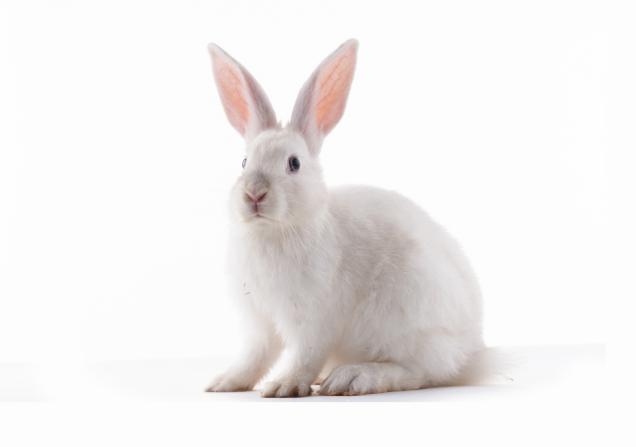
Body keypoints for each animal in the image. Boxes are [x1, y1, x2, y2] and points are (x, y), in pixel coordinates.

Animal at [206, 40, 484, 398]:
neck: (275, 231)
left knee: (421, 371)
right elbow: (254, 357)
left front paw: (284, 385)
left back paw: (353, 377)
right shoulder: (259, 323)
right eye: (243, 162)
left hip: (405, 316)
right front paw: (224, 382)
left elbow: (305, 355)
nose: (254, 194)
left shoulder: (314, 319)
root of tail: (470, 351)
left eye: (294, 163)